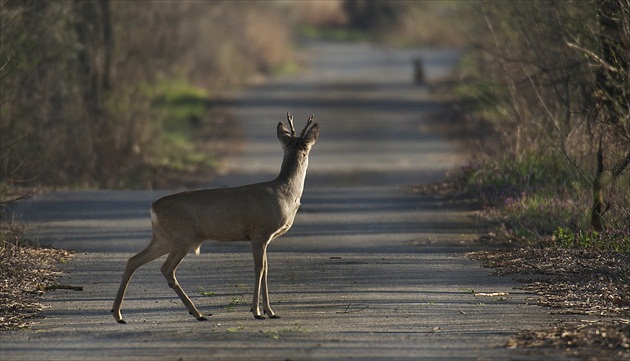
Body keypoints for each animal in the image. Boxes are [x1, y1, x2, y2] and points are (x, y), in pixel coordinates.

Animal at [112, 112, 320, 320]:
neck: (285, 193)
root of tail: (153, 207)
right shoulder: (260, 233)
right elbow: (259, 269)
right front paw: (257, 311)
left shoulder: (265, 238)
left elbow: (266, 270)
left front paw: (270, 311)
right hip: (182, 237)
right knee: (166, 269)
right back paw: (197, 313)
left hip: (163, 237)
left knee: (133, 261)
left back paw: (118, 314)